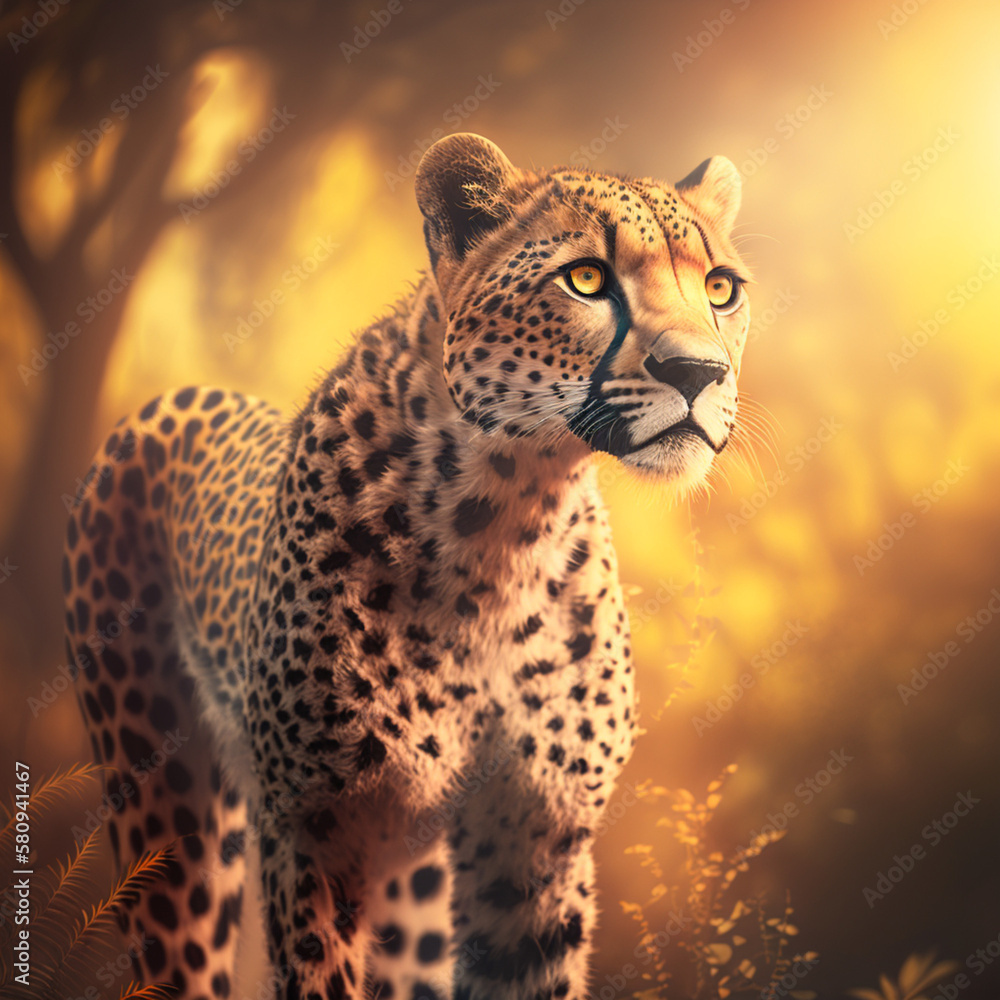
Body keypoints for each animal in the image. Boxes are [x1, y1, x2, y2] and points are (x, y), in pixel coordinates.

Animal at [62, 132, 751, 1000]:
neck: (507, 519)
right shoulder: (313, 832)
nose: (700, 374)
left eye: (721, 289)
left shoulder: (537, 839)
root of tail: (165, 402)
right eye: (587, 278)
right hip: (168, 818)